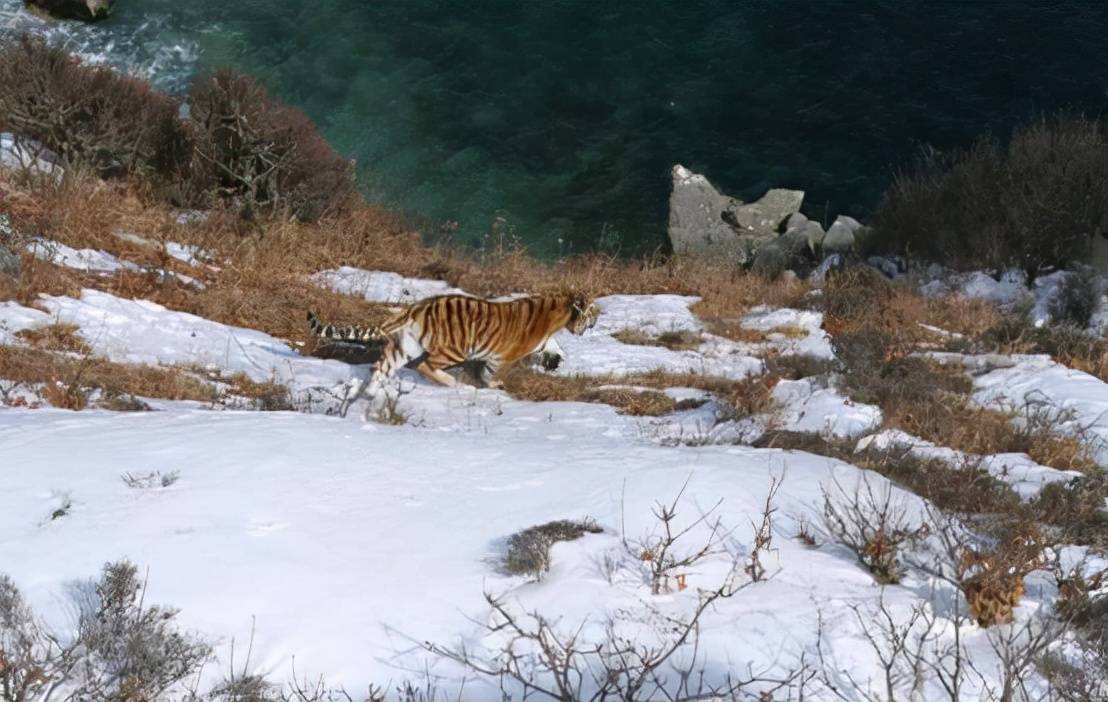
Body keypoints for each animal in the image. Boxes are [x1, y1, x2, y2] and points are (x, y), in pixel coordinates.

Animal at [308, 290, 602, 416]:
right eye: (592, 311)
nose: (599, 317)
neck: (559, 309)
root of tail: (416, 307)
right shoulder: (503, 356)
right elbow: (491, 374)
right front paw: (494, 385)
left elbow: (552, 346)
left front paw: (557, 357)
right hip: (453, 349)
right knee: (425, 366)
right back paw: (453, 383)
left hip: (404, 347)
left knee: (380, 368)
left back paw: (369, 393)